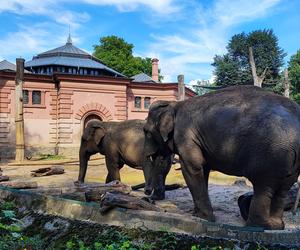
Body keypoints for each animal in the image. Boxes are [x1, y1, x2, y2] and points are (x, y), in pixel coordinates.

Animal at [143, 85, 300, 229]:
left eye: (146, 132)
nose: (149, 196)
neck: (175, 105)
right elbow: (203, 169)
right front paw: (197, 214)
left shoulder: (185, 135)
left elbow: (193, 167)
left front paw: (202, 218)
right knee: (283, 188)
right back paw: (276, 226)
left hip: (271, 153)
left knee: (264, 187)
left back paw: (257, 227)